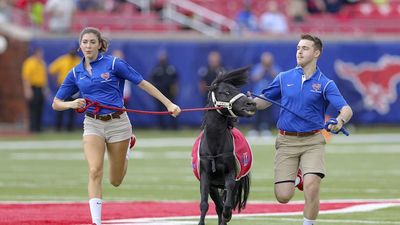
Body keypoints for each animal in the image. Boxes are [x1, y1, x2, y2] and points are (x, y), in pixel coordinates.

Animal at [196, 67, 256, 225]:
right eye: (226, 92)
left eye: (237, 89)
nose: (251, 104)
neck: (215, 147)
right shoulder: (206, 177)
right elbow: (205, 204)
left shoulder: (231, 176)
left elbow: (227, 207)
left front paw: (227, 215)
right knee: (218, 206)